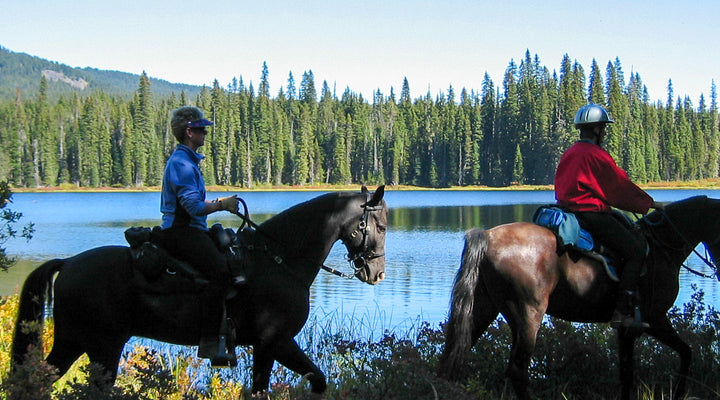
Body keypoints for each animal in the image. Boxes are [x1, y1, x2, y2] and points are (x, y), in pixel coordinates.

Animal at [12, 185, 387, 396]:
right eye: (381, 226)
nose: (378, 273)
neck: (280, 260)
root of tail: (68, 262)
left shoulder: (273, 346)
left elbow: (314, 381)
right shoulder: (274, 343)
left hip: (74, 342)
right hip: (102, 346)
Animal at [438, 195, 720, 400]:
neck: (662, 249)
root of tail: (488, 236)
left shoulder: (626, 329)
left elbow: (627, 372)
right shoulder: (655, 319)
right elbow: (686, 353)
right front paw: (679, 393)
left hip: (483, 307)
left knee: (452, 355)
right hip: (527, 314)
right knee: (517, 370)